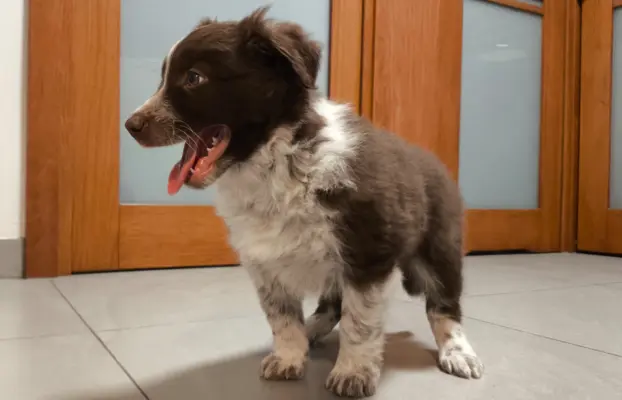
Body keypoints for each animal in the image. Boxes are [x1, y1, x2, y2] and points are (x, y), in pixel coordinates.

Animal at [127, 6, 486, 396]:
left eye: (194, 78)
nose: (131, 125)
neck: (277, 162)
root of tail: (436, 162)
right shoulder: (265, 260)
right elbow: (282, 316)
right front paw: (289, 357)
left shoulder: (368, 251)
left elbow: (361, 320)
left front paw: (353, 372)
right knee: (332, 304)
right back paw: (312, 330)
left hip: (440, 247)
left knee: (444, 305)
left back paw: (457, 351)